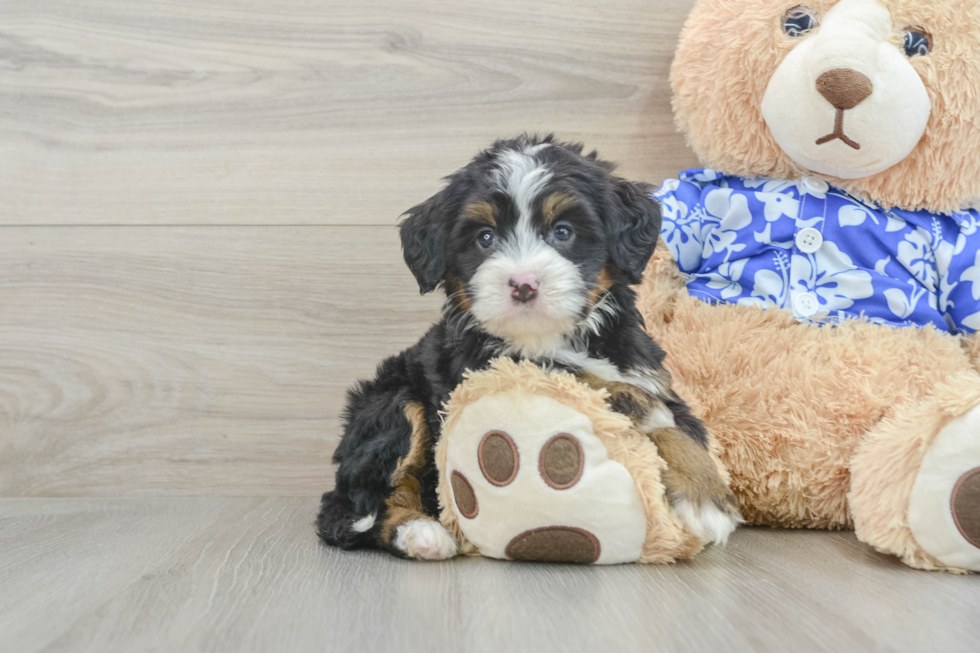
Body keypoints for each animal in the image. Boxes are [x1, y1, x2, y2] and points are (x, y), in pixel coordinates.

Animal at [318, 135, 740, 556]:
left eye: (563, 232)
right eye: (485, 237)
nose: (523, 284)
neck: (548, 337)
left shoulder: (649, 373)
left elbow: (682, 431)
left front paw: (703, 490)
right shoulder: (493, 366)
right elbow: (599, 384)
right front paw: (663, 434)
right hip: (394, 402)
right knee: (360, 501)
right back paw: (420, 533)